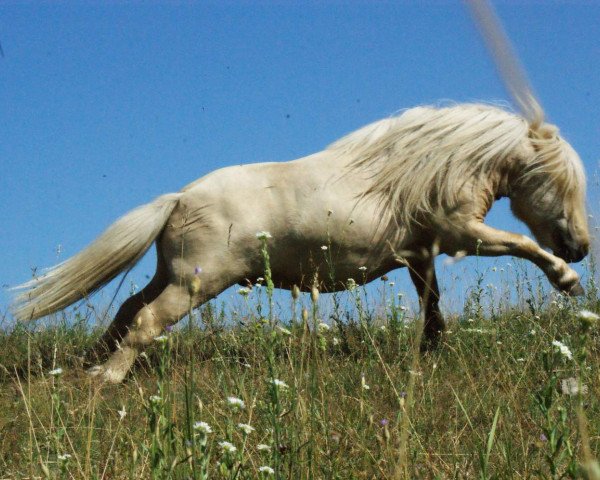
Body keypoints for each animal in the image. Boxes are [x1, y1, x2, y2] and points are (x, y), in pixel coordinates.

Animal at [11, 104, 588, 382]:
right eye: (561, 182)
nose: (580, 247)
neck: (431, 167)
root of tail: (178, 198)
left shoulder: (421, 254)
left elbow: (432, 303)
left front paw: (430, 349)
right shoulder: (461, 233)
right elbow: (523, 245)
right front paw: (568, 281)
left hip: (172, 276)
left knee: (129, 307)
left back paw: (90, 362)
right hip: (197, 284)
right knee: (147, 320)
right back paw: (108, 378)